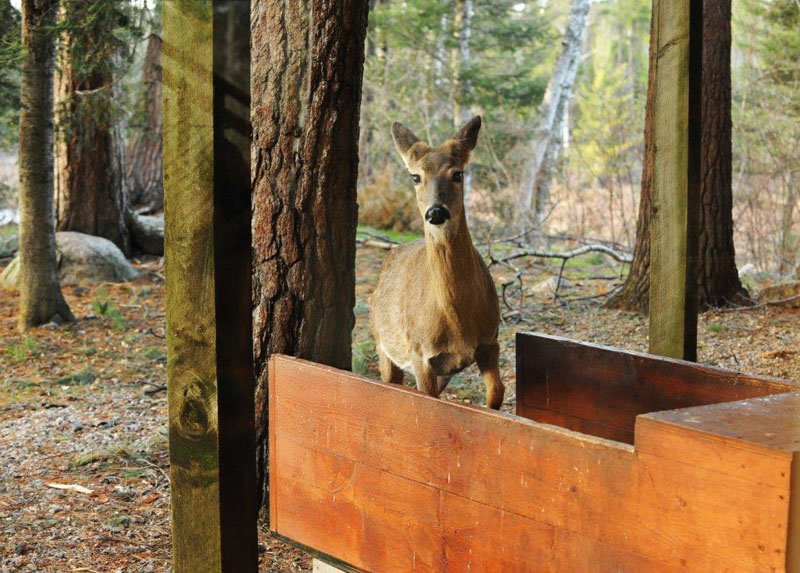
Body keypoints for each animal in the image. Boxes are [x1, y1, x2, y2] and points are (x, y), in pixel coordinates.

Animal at [369, 116, 504, 409]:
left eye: (458, 174)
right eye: (415, 176)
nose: (436, 212)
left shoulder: (491, 340)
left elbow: (496, 394)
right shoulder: (420, 353)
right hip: (382, 342)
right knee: (391, 382)